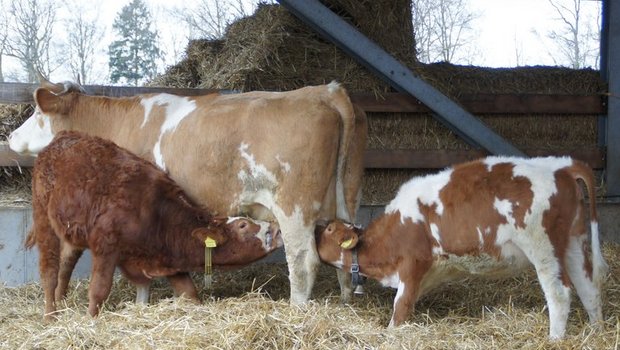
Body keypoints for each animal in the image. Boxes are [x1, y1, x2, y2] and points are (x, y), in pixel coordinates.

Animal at [28, 131, 280, 318]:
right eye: (243, 225)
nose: (276, 229)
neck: (156, 216)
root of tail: (63, 136)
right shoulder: (105, 247)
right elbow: (98, 291)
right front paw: (91, 321)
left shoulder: (165, 259)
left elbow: (188, 293)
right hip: (42, 216)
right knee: (49, 270)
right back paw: (50, 315)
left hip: (73, 232)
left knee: (65, 264)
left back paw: (61, 302)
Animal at [318, 156, 608, 340]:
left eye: (330, 230)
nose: (315, 228)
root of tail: (561, 165)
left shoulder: (413, 264)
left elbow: (400, 308)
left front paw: (390, 333)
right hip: (574, 242)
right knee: (589, 287)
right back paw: (597, 331)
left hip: (543, 248)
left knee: (560, 293)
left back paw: (555, 339)